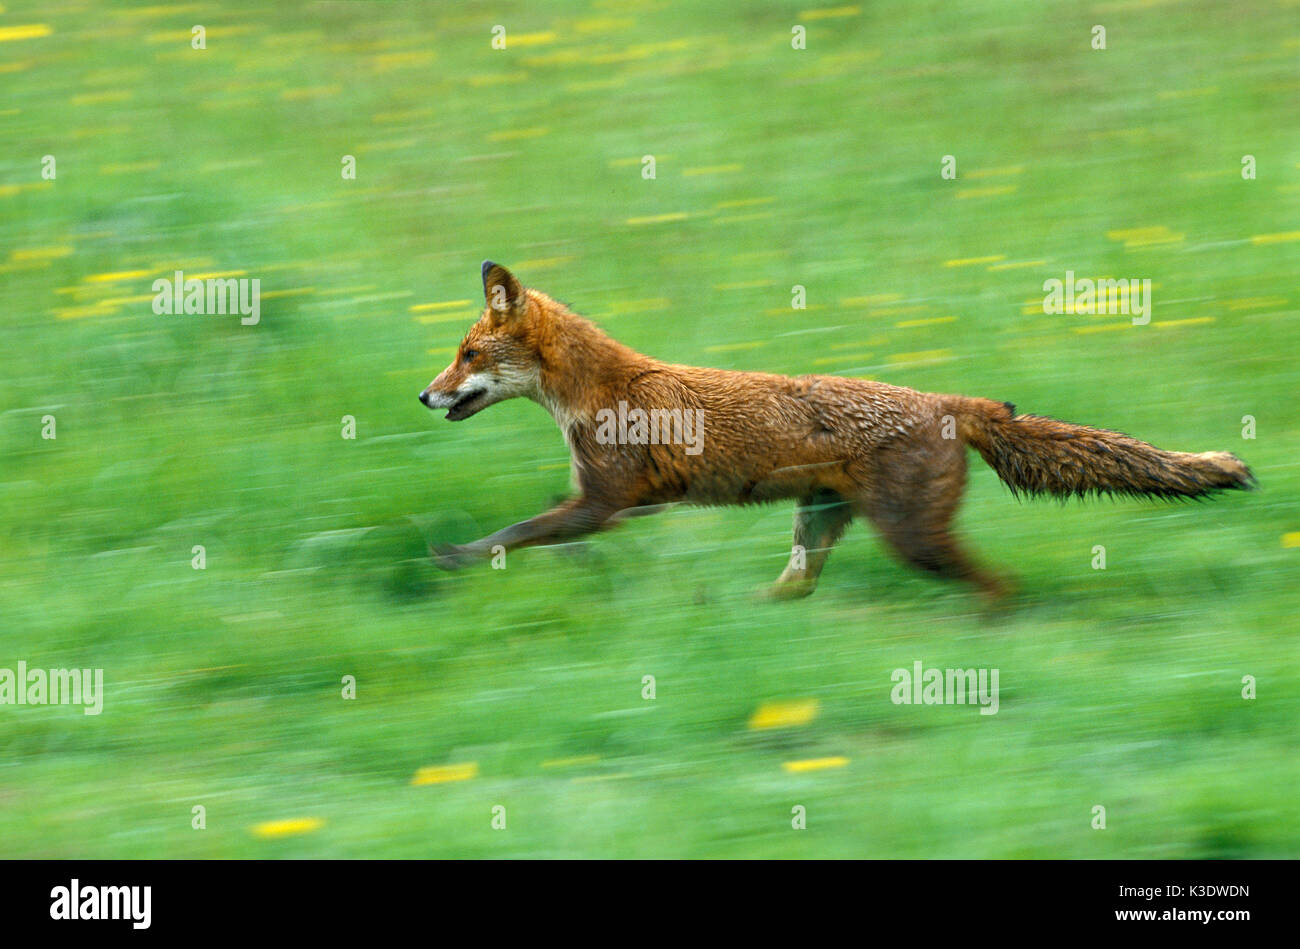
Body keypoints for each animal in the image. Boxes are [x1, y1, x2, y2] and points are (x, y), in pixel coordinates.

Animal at [421, 258, 1253, 598]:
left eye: (467, 354)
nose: (423, 396)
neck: (598, 389)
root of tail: (947, 399)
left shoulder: (606, 500)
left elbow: (512, 535)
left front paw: (455, 557)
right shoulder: (622, 503)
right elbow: (534, 532)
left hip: (911, 539)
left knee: (1000, 586)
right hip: (819, 523)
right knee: (792, 591)